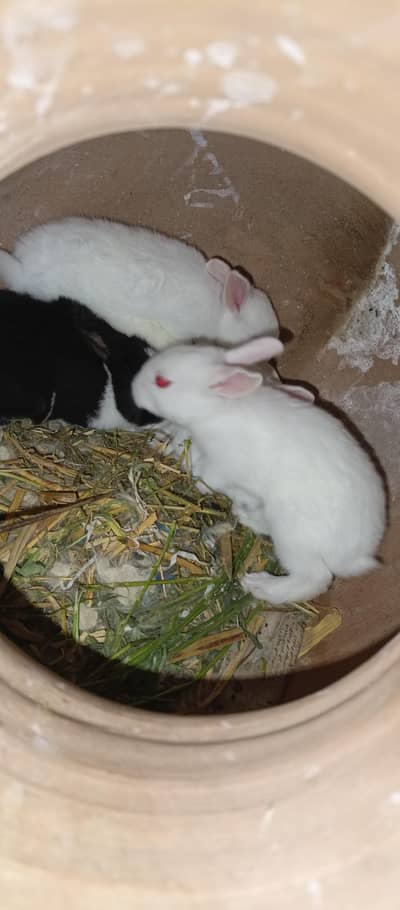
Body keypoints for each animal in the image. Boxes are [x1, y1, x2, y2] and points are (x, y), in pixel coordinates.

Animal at [132, 336, 386, 605]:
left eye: (162, 382)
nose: (133, 386)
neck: (218, 410)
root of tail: (356, 555)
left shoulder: (223, 464)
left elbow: (209, 475)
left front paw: (199, 483)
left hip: (293, 539)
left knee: (314, 579)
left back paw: (258, 584)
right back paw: (244, 516)